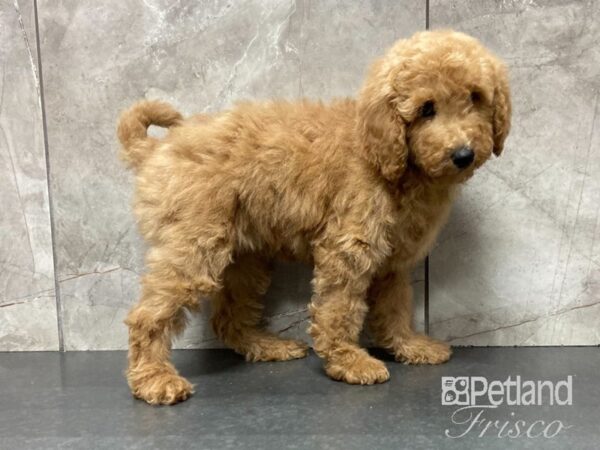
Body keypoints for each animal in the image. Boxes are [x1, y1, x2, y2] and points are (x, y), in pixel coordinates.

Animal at [117, 30, 510, 404]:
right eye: (426, 109)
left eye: (475, 97)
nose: (463, 154)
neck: (389, 160)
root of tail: (157, 149)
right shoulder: (349, 248)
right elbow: (339, 308)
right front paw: (349, 361)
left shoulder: (393, 260)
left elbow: (396, 305)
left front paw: (409, 345)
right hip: (194, 247)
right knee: (147, 316)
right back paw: (154, 379)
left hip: (246, 258)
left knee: (229, 316)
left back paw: (267, 346)